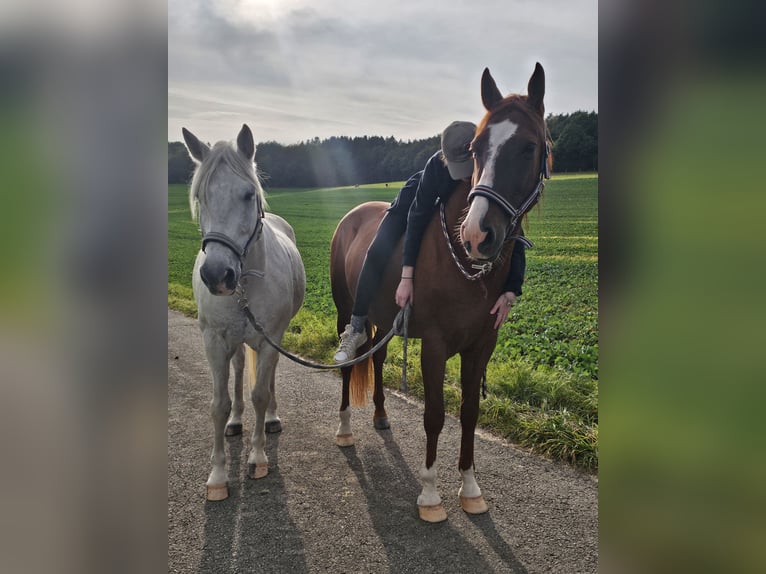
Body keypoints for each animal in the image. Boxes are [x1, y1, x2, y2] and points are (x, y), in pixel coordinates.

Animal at [182, 124, 306, 501]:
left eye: (249, 194)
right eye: (201, 196)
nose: (216, 275)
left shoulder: (269, 340)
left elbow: (260, 394)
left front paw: (258, 458)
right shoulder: (213, 341)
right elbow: (218, 404)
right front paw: (218, 475)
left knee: (267, 378)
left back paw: (272, 420)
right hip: (233, 341)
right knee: (238, 370)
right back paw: (236, 422)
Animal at [330, 64, 551, 522]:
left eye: (529, 147)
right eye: (477, 148)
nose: (477, 235)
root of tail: (352, 216)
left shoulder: (481, 345)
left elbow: (469, 413)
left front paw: (470, 488)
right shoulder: (433, 345)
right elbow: (435, 415)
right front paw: (430, 495)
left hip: (384, 321)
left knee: (376, 357)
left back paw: (381, 414)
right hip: (347, 310)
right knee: (350, 360)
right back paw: (344, 428)